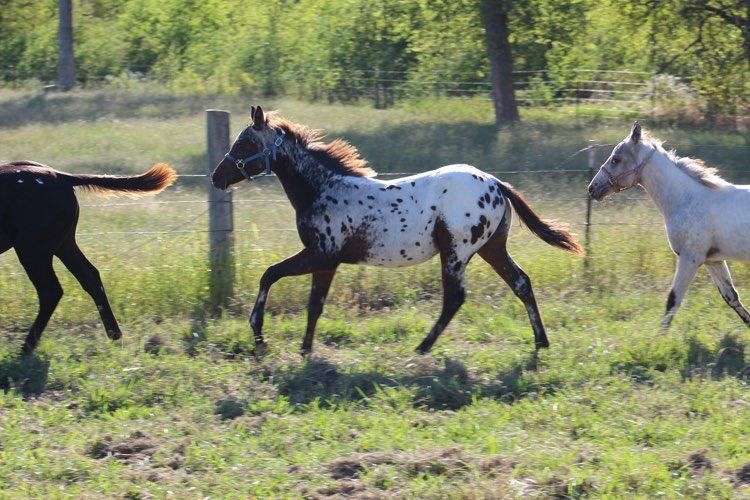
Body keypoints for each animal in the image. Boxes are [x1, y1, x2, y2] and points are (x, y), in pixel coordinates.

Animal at [0, 162, 176, 354]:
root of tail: (59, 176)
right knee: (90, 278)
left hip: (33, 250)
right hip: (63, 245)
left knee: (51, 291)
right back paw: (114, 334)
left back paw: (26, 347)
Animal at [214, 105, 584, 356]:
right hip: (492, 248)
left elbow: (271, 275)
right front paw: (304, 349)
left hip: (456, 252)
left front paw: (259, 335)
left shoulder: (320, 255)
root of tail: (496, 183)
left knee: (455, 298)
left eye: (245, 143)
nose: (216, 177)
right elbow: (314, 304)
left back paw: (422, 347)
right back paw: (541, 342)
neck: (323, 188)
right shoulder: (326, 262)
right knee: (521, 283)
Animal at [592, 122, 750, 328]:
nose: (592, 188)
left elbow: (672, 301)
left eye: (616, 159)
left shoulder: (690, 258)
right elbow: (731, 297)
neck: (686, 200)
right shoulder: (712, 260)